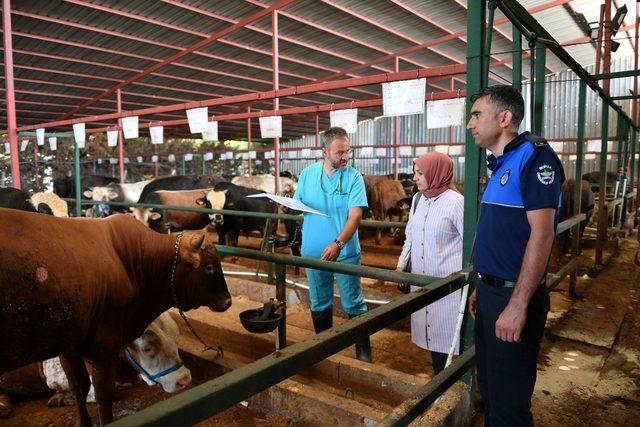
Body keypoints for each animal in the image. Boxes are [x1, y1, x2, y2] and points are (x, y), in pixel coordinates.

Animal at [0, 211, 230, 427]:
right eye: (209, 267)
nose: (228, 301)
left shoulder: (68, 347)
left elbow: (79, 387)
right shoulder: (105, 347)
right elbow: (102, 394)